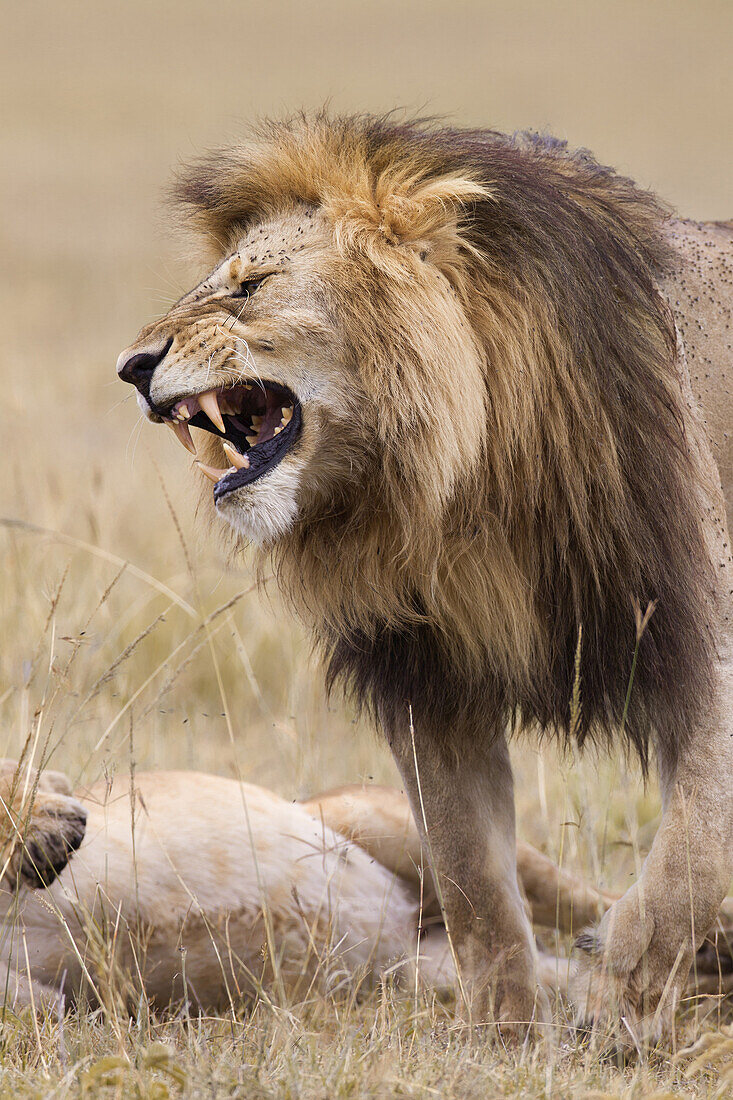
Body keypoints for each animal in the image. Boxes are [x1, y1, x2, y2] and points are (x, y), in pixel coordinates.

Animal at [118, 116, 730, 1042]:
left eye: (251, 286)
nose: (131, 365)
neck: (459, 486)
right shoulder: (428, 680)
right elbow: (467, 868)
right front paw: (503, 1030)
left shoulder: (695, 645)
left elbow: (691, 853)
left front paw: (626, 990)